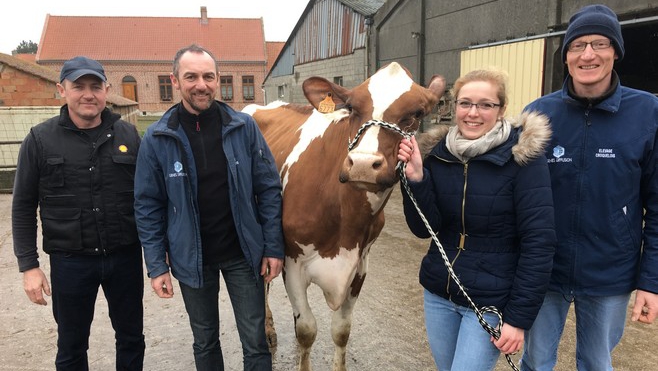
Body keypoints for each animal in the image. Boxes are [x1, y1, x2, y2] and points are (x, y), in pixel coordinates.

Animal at [243, 62, 444, 370]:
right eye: (351, 107)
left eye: (416, 113)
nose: (363, 163)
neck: (345, 218)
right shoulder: (292, 262)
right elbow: (307, 330)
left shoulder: (359, 266)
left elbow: (341, 331)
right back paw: (267, 331)